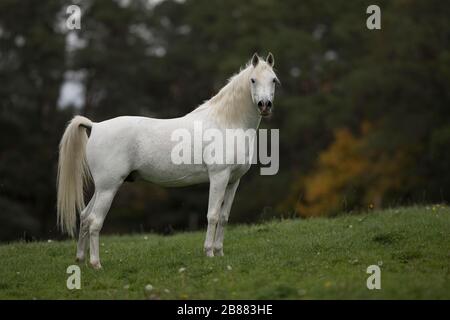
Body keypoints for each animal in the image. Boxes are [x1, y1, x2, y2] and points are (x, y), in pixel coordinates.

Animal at [57, 52, 278, 268]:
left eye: (274, 80)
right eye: (253, 80)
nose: (265, 105)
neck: (227, 123)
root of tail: (95, 126)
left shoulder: (233, 181)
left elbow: (223, 217)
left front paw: (220, 252)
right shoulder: (219, 177)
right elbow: (213, 215)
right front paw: (209, 253)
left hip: (102, 187)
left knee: (85, 217)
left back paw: (80, 259)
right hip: (108, 188)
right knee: (95, 221)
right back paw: (96, 264)